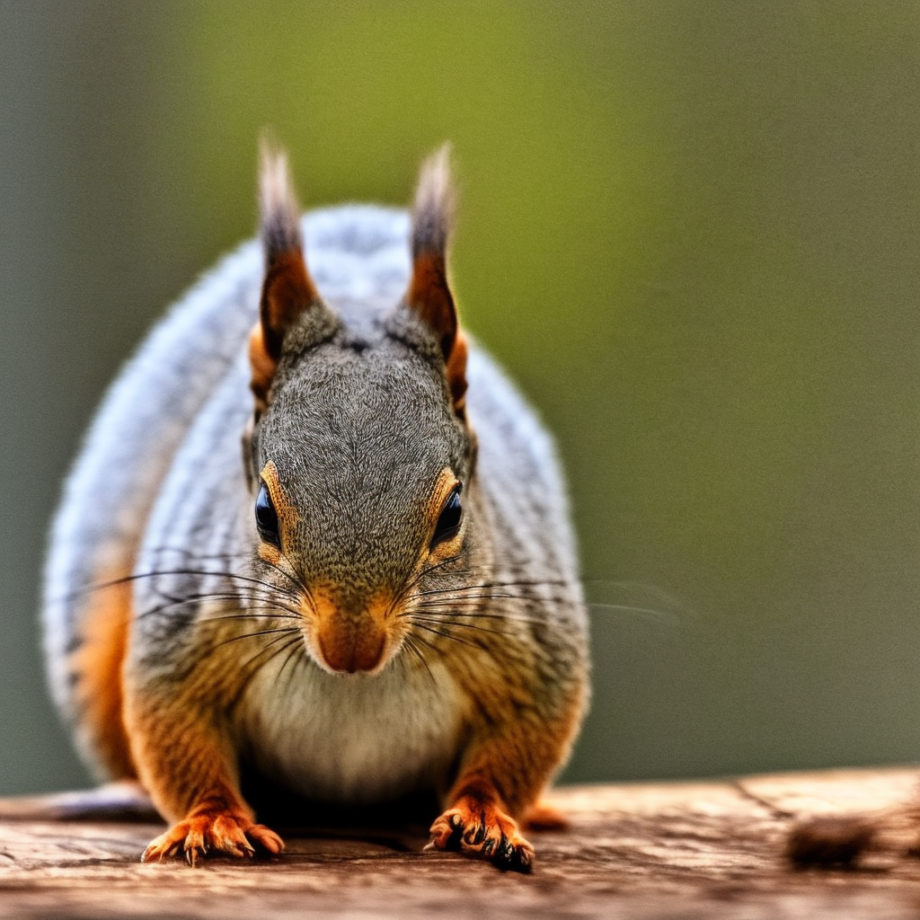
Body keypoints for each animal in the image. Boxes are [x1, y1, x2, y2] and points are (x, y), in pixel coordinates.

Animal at [41, 140, 590, 872]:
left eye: (453, 514)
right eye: (263, 512)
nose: (350, 648)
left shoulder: (531, 636)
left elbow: (523, 741)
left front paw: (485, 817)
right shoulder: (182, 625)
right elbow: (176, 732)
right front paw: (211, 822)